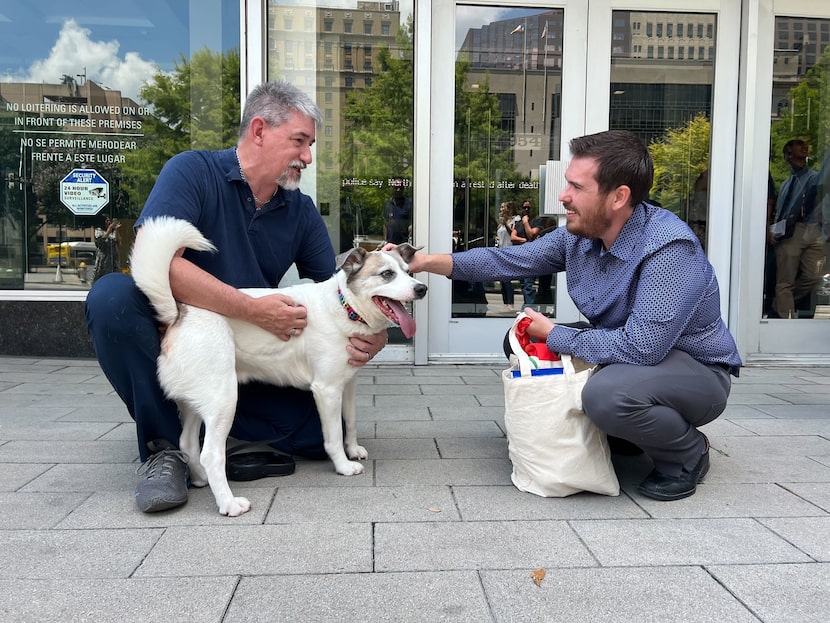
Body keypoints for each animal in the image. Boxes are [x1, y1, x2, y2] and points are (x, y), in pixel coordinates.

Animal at [132, 216, 428, 516]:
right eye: (387, 274)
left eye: (407, 271)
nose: (421, 289)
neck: (345, 307)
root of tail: (179, 314)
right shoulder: (327, 390)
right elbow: (333, 434)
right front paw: (344, 465)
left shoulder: (348, 383)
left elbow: (351, 422)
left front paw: (353, 449)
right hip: (224, 399)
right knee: (211, 454)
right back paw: (229, 503)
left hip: (198, 400)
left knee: (188, 443)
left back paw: (200, 479)